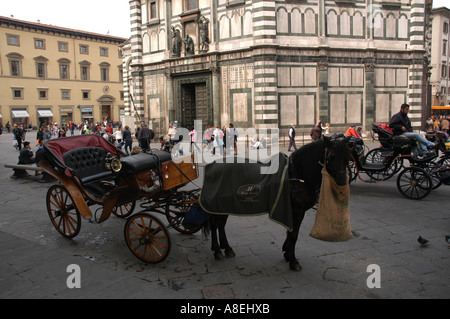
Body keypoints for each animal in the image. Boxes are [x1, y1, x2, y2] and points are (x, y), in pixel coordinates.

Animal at [205, 134, 352, 272]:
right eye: (331, 157)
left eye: (348, 158)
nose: (342, 183)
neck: (297, 176)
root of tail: (213, 164)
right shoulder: (297, 210)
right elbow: (293, 235)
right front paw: (293, 261)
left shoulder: (295, 211)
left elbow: (291, 233)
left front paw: (287, 254)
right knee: (214, 223)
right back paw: (217, 250)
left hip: (225, 204)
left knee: (221, 224)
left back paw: (227, 248)